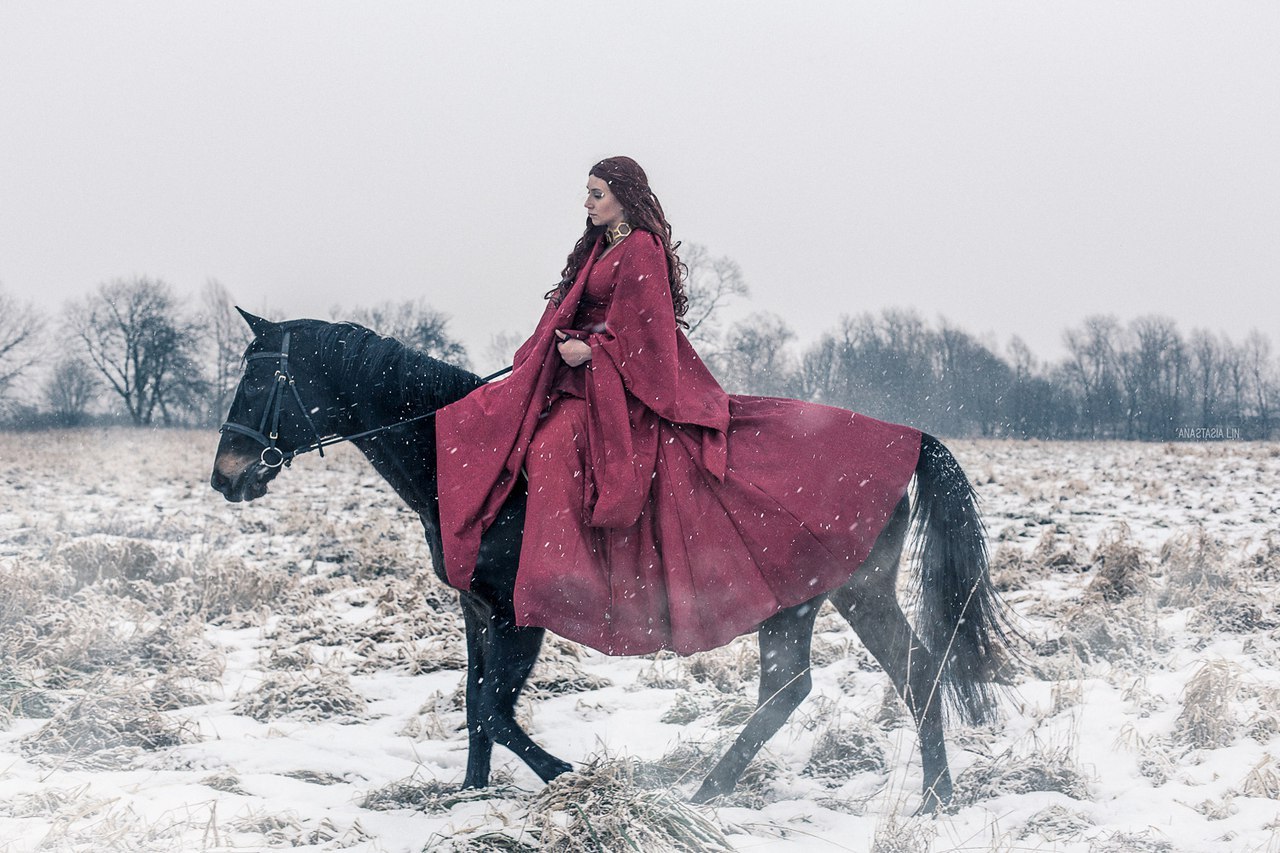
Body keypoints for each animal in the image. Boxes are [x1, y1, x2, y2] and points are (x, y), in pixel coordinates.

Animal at [209, 311, 1008, 809]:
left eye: (259, 381)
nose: (226, 476)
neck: (474, 460)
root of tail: (908, 438)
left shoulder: (516, 613)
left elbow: (494, 708)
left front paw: (570, 776)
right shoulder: (476, 609)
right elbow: (473, 705)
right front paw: (470, 795)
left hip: (807, 596)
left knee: (800, 685)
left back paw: (709, 794)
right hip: (845, 592)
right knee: (907, 671)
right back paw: (932, 800)